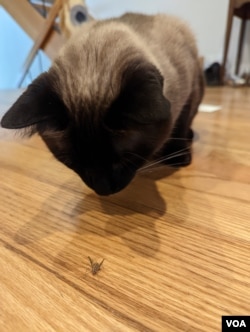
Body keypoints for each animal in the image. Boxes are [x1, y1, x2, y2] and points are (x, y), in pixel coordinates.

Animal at [0, 13, 204, 195]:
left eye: (125, 159)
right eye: (72, 163)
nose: (103, 190)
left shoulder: (190, 91)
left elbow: (181, 123)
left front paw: (178, 155)